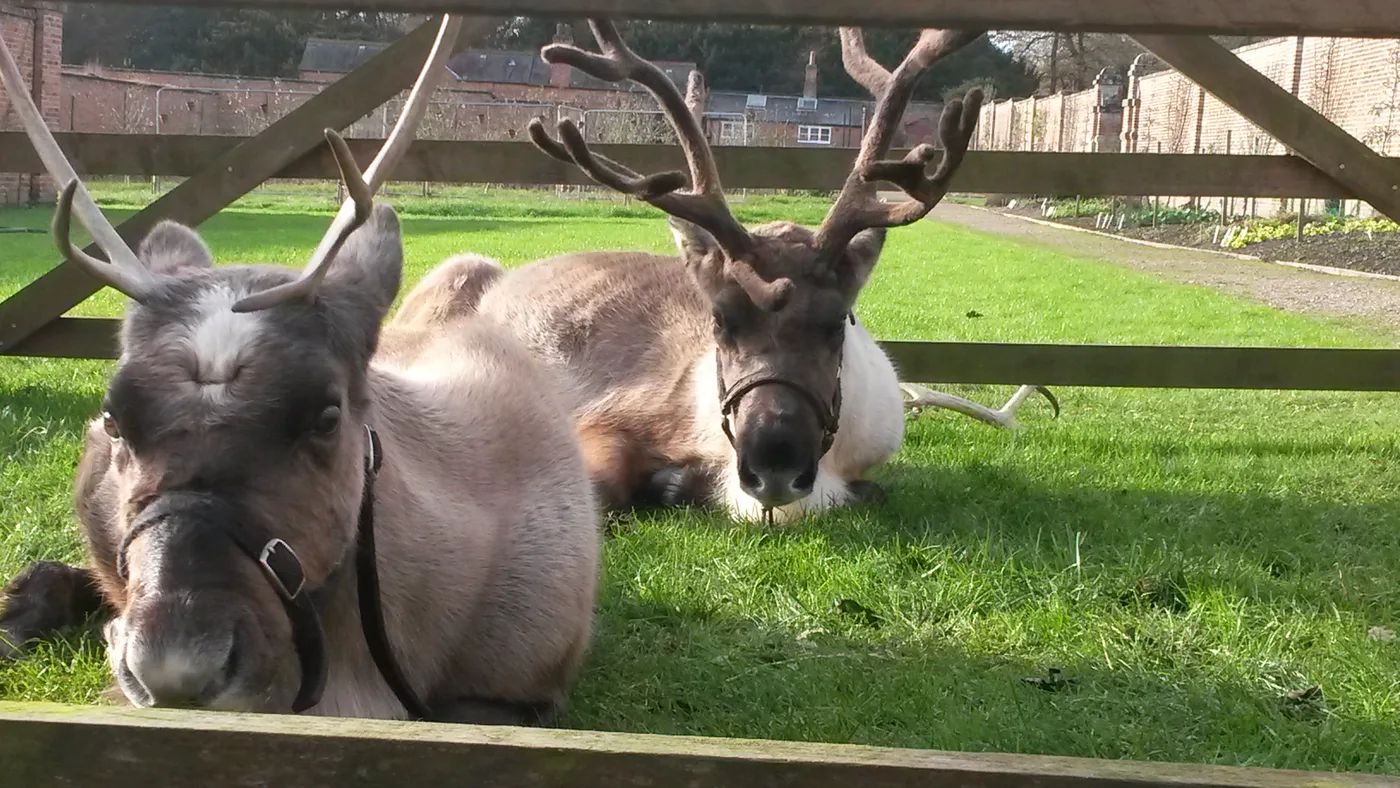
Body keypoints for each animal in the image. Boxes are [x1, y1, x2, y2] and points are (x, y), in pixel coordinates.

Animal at [470, 20, 1054, 525]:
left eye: (837, 323)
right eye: (719, 321)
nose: (774, 466)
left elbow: (877, 490)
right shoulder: (607, 417)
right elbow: (599, 488)